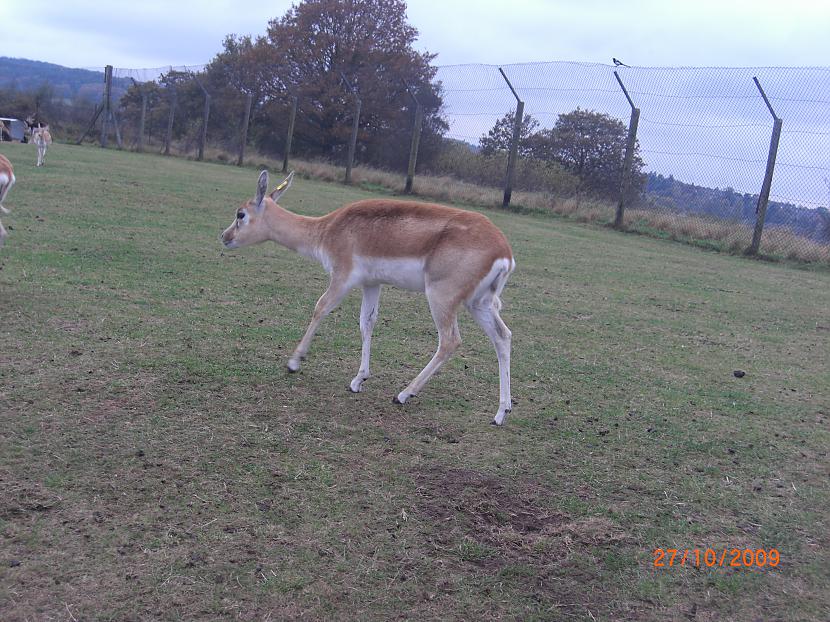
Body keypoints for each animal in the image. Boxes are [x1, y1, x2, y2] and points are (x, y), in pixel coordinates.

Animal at [221, 169, 520, 424]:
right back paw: (501, 413)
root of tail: (503, 251)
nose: (224, 236)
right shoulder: (371, 283)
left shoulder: (343, 276)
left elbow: (321, 307)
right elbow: (367, 322)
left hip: (441, 297)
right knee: (503, 337)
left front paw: (294, 362)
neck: (327, 230)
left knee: (450, 341)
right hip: (478, 303)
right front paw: (358, 380)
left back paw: (403, 394)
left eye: (240, 214)